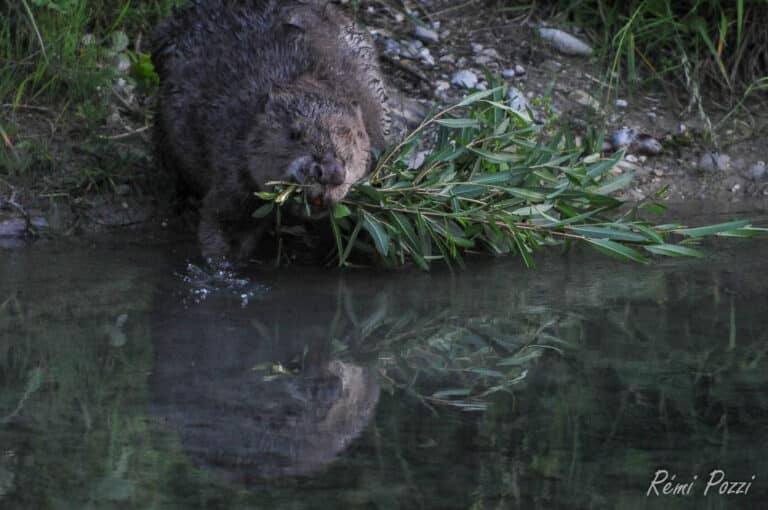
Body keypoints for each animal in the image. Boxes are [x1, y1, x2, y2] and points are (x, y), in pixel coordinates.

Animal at [151, 0, 392, 260]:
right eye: (294, 134)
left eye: (354, 141)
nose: (330, 173)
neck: (309, 79)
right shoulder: (233, 164)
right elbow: (224, 222)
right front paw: (218, 263)